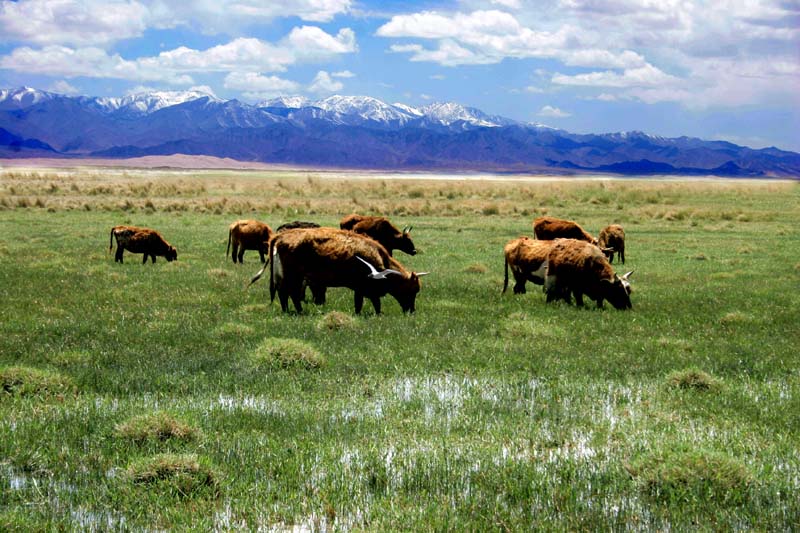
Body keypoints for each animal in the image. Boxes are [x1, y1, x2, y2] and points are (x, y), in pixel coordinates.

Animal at [266, 227, 428, 314]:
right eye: (412, 290)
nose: (411, 310)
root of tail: (280, 236)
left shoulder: (360, 289)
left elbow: (364, 303)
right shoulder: (364, 287)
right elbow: (370, 302)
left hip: (288, 277)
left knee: (284, 293)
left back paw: (288, 311)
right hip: (294, 277)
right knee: (290, 293)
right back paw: (299, 311)